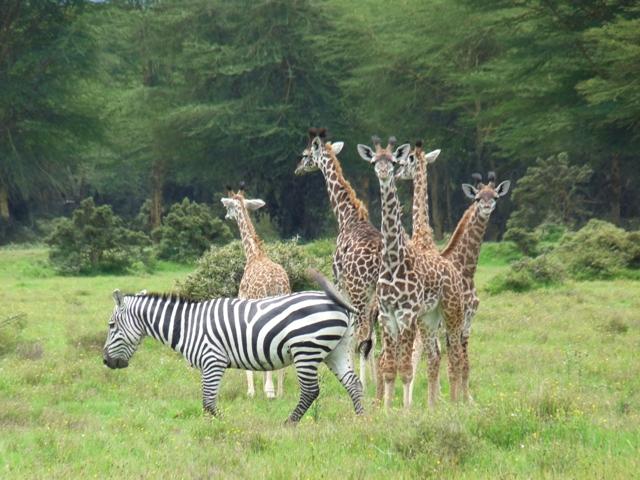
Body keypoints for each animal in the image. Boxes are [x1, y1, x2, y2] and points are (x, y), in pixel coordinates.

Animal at [102, 272, 369, 423]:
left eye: (111, 325)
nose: (106, 362)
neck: (187, 326)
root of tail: (340, 304)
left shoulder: (212, 361)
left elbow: (208, 402)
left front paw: (224, 424)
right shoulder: (210, 365)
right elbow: (206, 402)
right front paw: (210, 427)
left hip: (307, 349)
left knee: (311, 391)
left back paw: (289, 423)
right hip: (336, 350)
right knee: (353, 384)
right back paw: (360, 421)